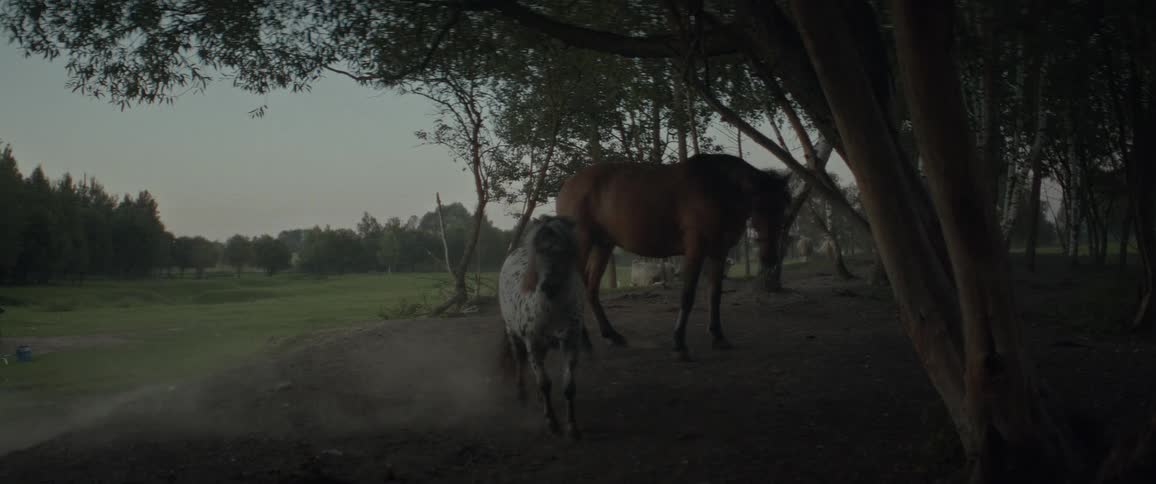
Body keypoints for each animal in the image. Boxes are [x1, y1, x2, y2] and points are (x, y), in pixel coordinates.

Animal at [497, 214, 586, 439]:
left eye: (564, 250)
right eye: (538, 250)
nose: (548, 286)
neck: (551, 310)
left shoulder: (571, 343)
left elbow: (568, 386)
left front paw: (572, 426)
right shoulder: (533, 345)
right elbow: (545, 384)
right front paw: (551, 422)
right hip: (514, 335)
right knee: (520, 361)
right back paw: (521, 394)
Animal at [556, 153, 792, 361]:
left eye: (783, 207)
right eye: (758, 206)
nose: (770, 258)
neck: (716, 187)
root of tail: (568, 185)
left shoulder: (718, 252)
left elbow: (715, 294)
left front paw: (718, 337)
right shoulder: (696, 249)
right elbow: (687, 295)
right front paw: (679, 345)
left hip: (603, 246)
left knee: (590, 289)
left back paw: (611, 336)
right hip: (582, 244)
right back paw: (584, 342)